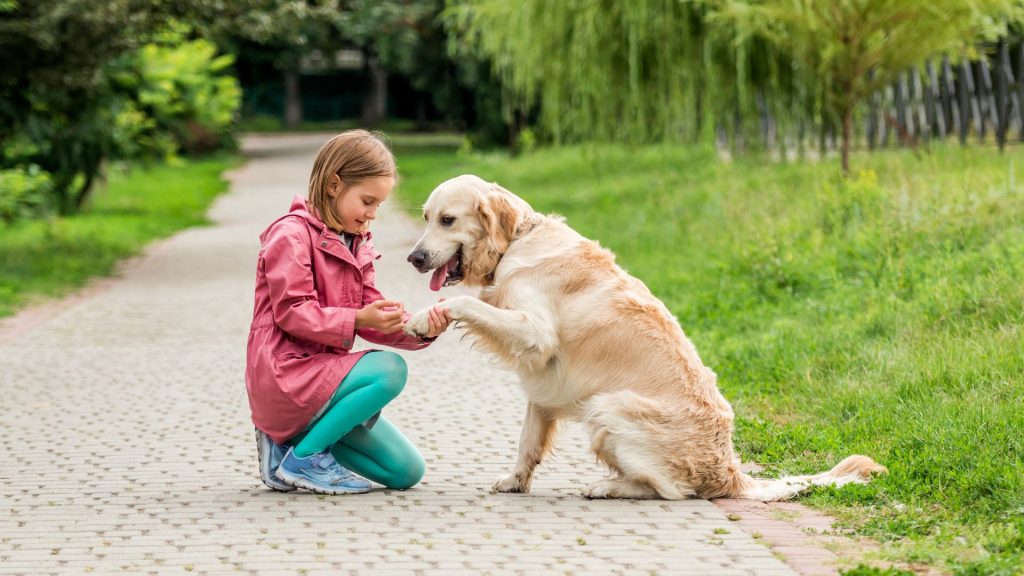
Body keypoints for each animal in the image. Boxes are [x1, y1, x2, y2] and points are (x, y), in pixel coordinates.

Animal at [403, 171, 884, 498]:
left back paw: (608, 487)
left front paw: (424, 316)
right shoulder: (544, 381)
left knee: (672, 490)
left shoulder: (536, 336)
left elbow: (465, 304)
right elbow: (528, 441)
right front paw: (515, 480)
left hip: (606, 407)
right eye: (425, 217)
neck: (518, 241)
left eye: (448, 220)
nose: (414, 258)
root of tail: (730, 472)